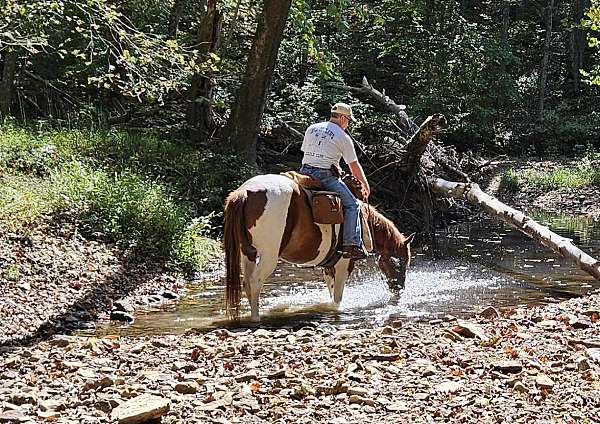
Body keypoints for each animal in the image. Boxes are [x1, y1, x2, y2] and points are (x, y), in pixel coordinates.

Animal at [223, 174, 414, 320]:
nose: (399, 290)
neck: (364, 220)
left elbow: (331, 291)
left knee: (247, 282)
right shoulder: (344, 264)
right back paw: (256, 317)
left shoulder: (329, 266)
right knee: (255, 282)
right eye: (402, 262)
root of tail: (244, 192)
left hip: (248, 253)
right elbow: (337, 297)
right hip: (268, 256)